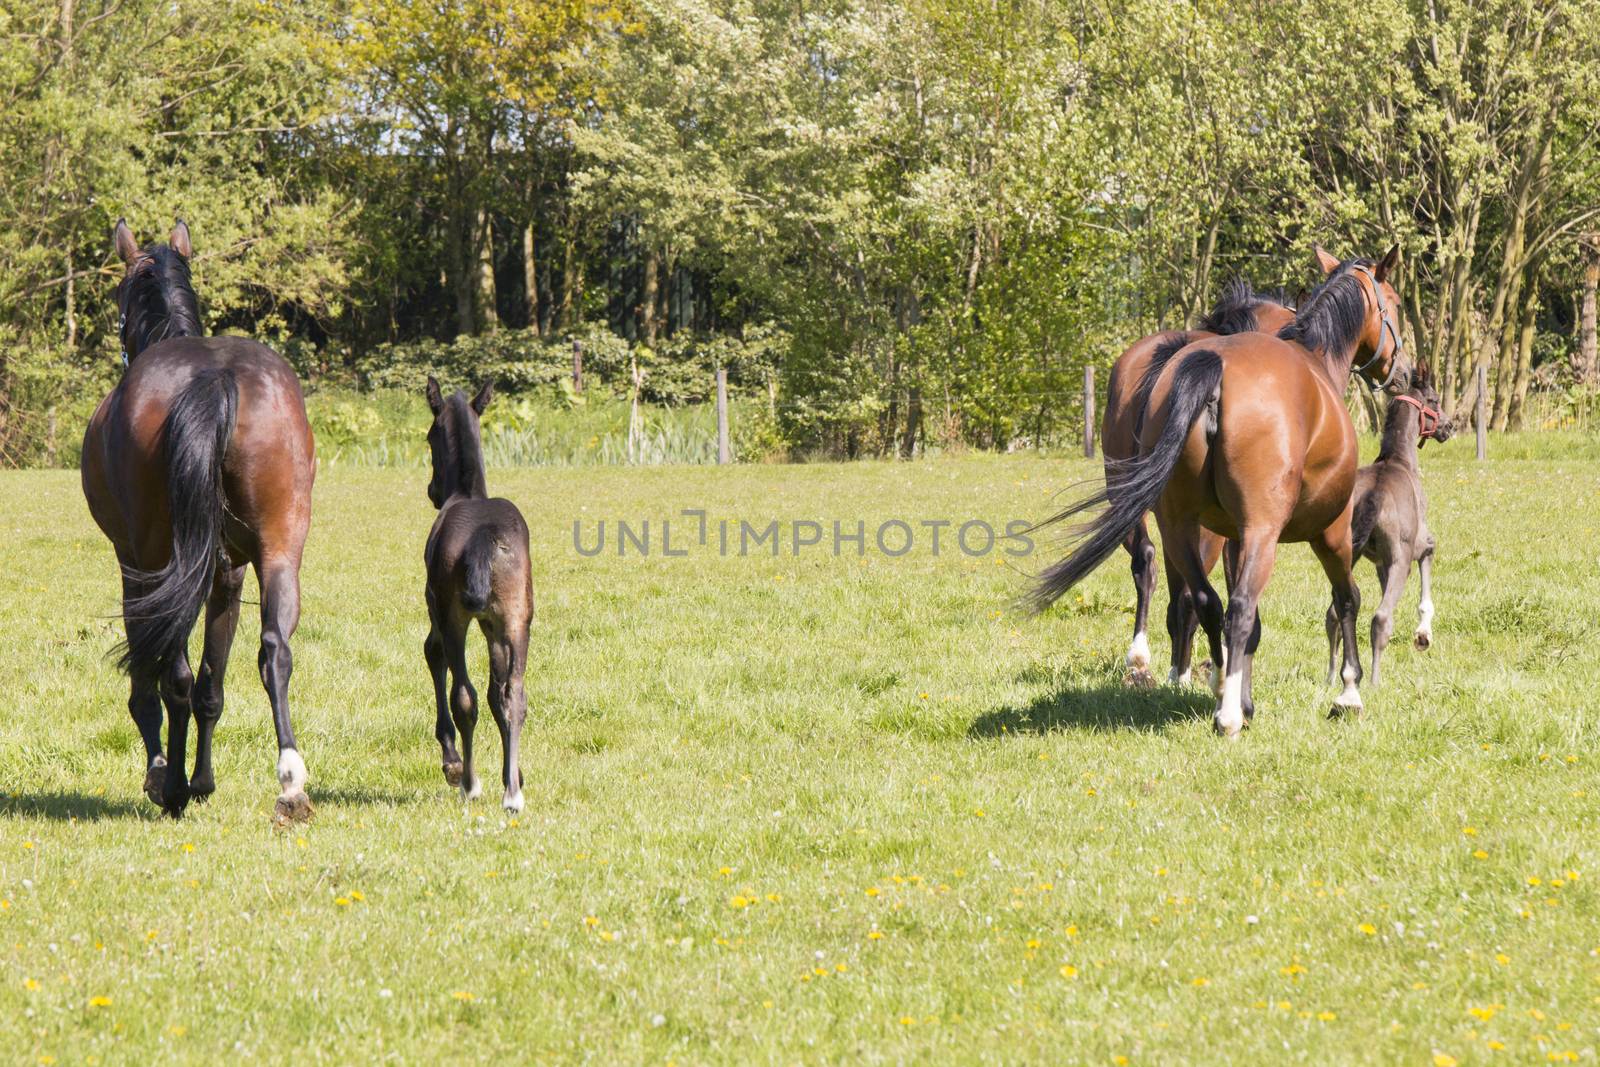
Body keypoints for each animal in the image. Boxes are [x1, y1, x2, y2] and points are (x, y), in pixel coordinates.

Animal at [80, 220, 315, 825]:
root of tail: (214, 375)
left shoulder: (133, 565)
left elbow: (159, 679)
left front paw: (167, 775)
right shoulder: (228, 572)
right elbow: (214, 682)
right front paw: (204, 780)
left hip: (159, 558)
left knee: (174, 675)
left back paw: (172, 788)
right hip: (279, 548)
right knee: (274, 651)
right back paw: (290, 783)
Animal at [422, 375, 534, 809]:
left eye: (428, 437)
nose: (432, 490)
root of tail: (484, 536)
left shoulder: (437, 607)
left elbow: (433, 654)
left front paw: (452, 763)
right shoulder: (492, 624)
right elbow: (496, 694)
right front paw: (514, 774)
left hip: (455, 617)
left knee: (463, 695)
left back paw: (469, 782)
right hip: (517, 618)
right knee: (514, 695)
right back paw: (512, 794)